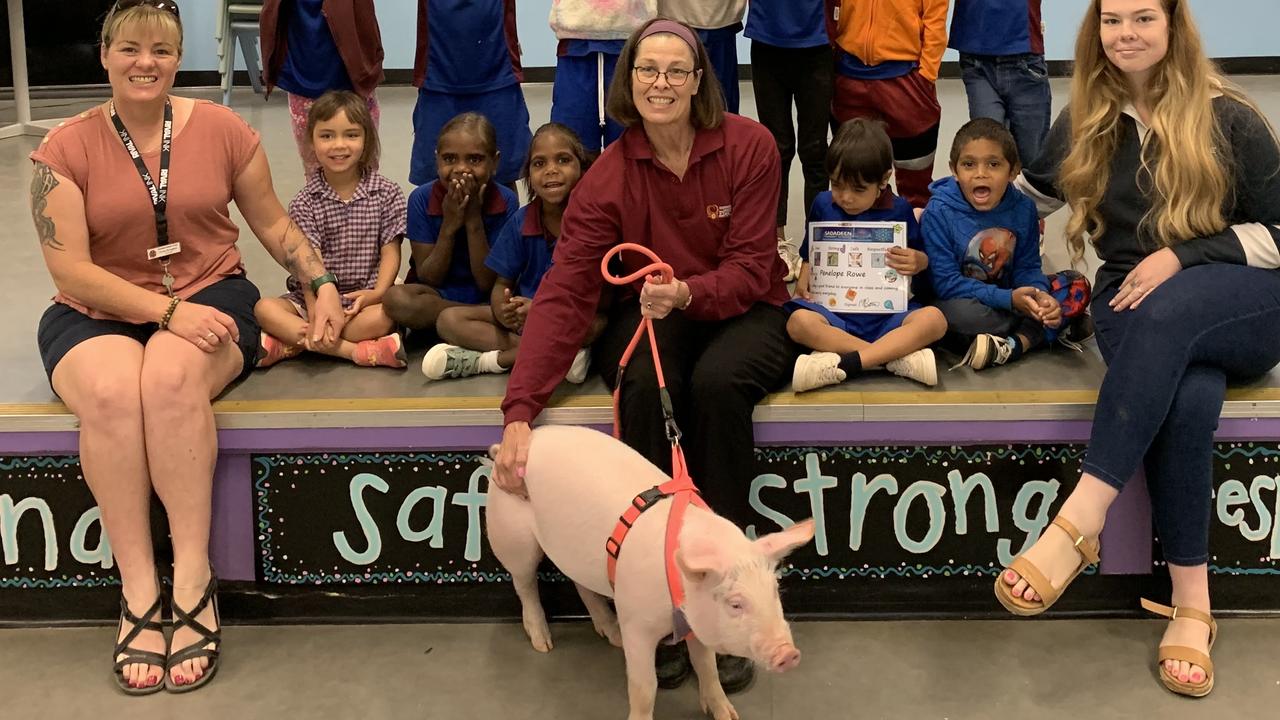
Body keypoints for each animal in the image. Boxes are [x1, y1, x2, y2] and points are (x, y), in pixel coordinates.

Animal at [483, 425, 814, 717]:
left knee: (580, 585)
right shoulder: (636, 622)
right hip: (511, 537)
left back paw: (611, 635)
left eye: (774, 592)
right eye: (735, 603)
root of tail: (507, 447)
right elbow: (645, 687)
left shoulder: (697, 624)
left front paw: (729, 715)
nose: (789, 653)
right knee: (524, 584)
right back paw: (544, 644)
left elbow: (707, 668)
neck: (680, 602)